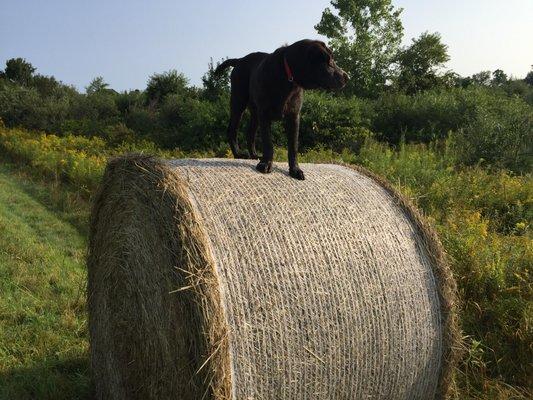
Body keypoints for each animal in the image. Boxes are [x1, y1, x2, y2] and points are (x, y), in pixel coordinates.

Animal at [214, 39, 348, 180]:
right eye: (330, 61)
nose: (347, 77)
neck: (288, 79)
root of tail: (239, 60)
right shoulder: (265, 114)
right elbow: (268, 143)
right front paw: (266, 164)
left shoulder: (294, 116)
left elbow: (293, 146)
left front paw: (295, 169)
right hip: (239, 102)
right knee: (232, 130)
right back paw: (239, 154)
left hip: (255, 111)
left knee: (249, 133)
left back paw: (254, 155)